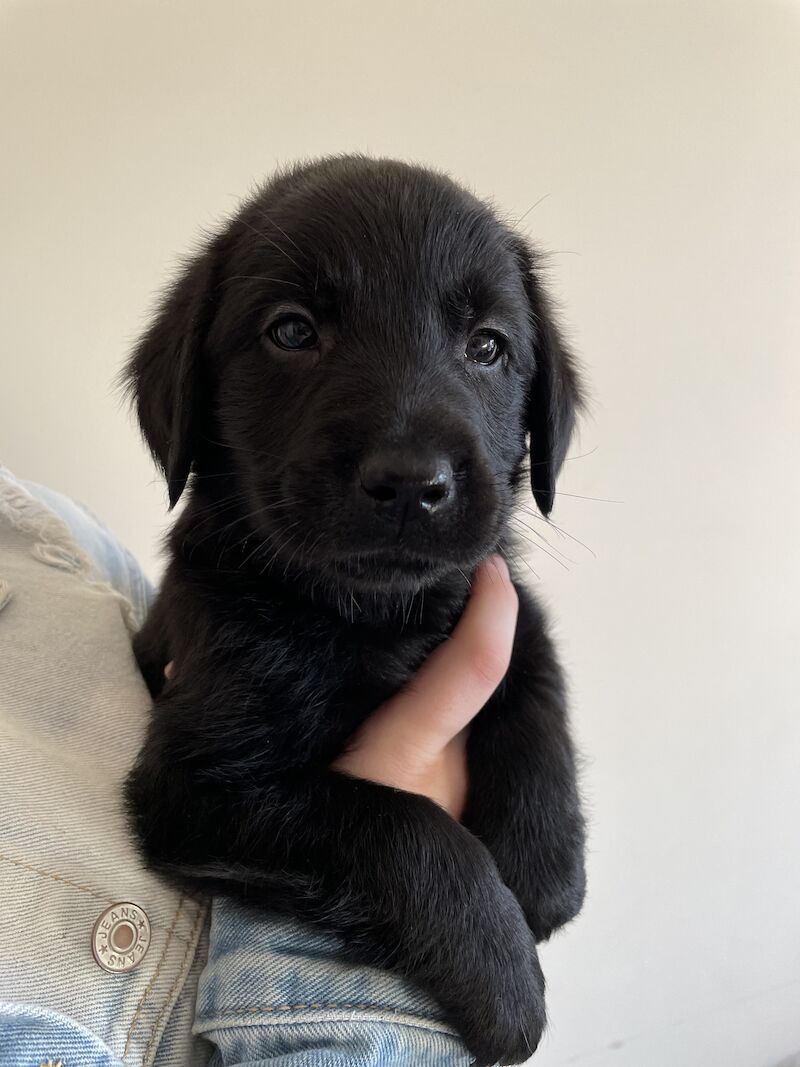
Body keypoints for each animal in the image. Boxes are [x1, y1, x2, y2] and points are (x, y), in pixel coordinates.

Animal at [126, 154, 588, 1062]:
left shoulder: (497, 590)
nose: (412, 481)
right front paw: (505, 976)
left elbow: (536, 668)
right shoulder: (194, 786)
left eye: (488, 346)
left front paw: (545, 854)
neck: (370, 615)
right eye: (292, 331)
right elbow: (399, 826)